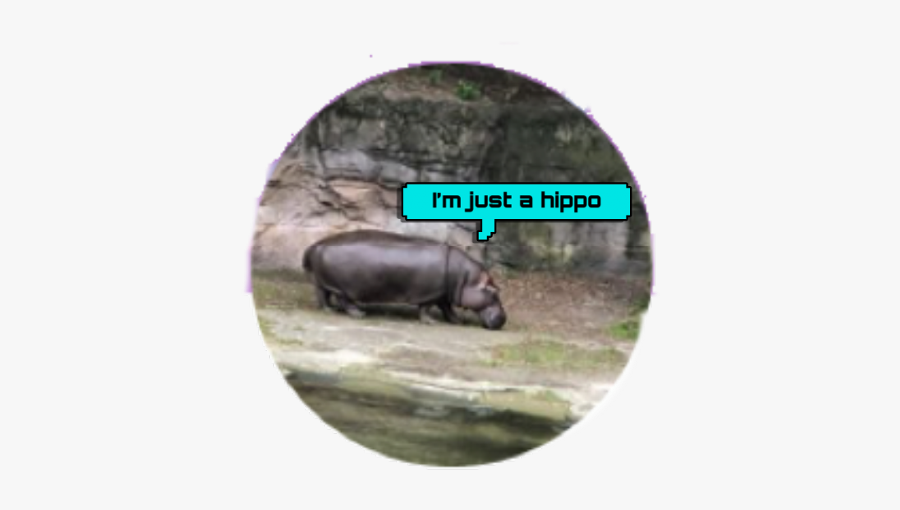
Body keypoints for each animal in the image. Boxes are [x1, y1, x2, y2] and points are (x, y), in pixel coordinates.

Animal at [301, 230, 507, 330]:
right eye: (494, 291)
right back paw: (358, 314)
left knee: (323, 295)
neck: (465, 277)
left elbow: (447, 309)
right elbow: (426, 308)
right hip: (343, 287)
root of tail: (315, 245)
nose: (503, 319)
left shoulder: (443, 294)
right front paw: (430, 322)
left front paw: (457, 322)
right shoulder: (430, 294)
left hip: (325, 282)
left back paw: (330, 309)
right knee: (343, 300)